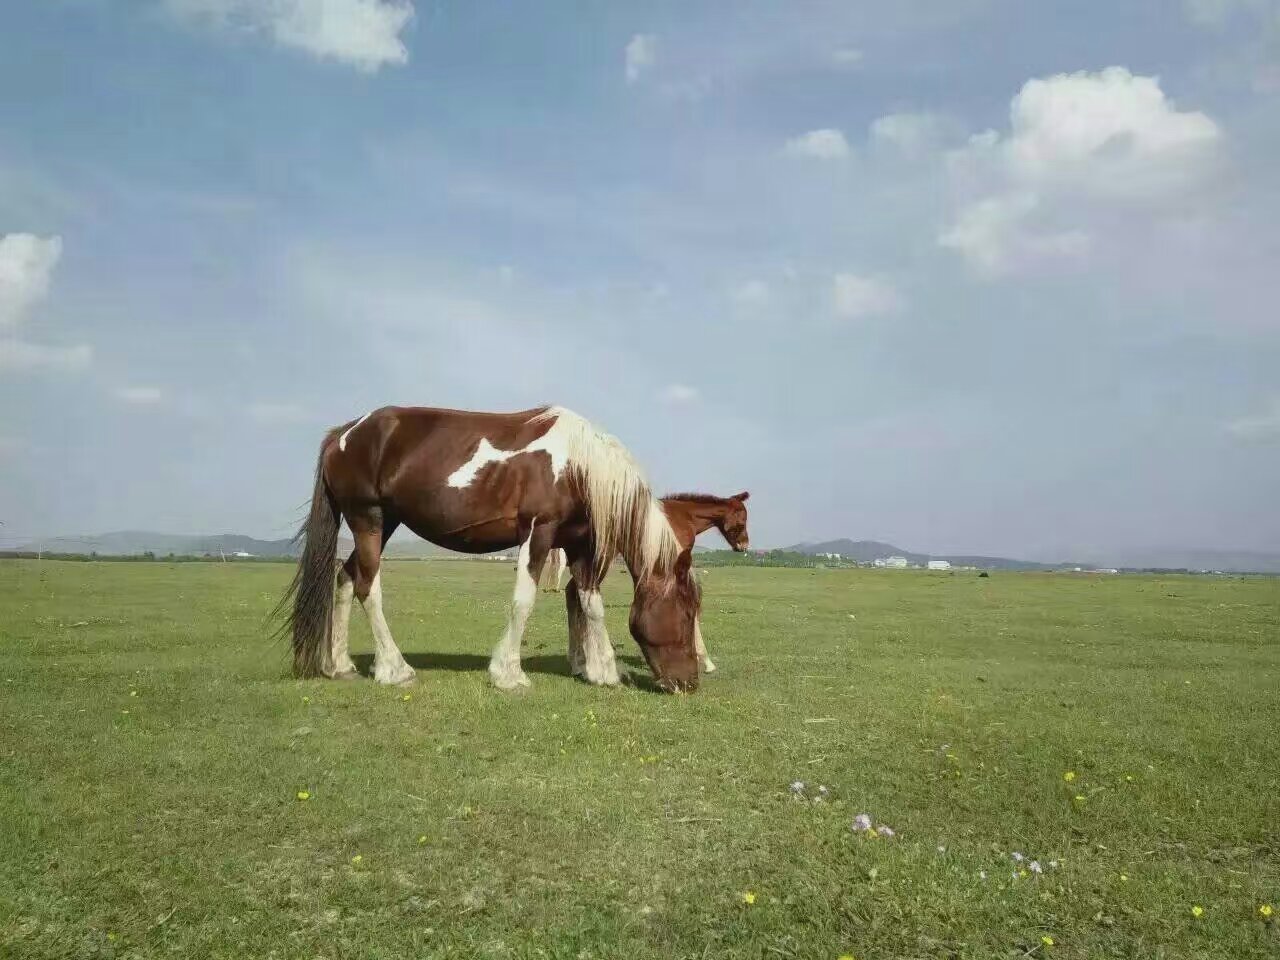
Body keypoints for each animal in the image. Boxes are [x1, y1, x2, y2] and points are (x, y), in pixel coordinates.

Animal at [277, 404, 701, 691]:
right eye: (686, 610)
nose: (690, 683)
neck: (578, 465)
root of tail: (346, 432)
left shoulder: (580, 542)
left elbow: (590, 603)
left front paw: (604, 672)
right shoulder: (539, 531)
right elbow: (524, 601)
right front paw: (508, 674)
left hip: (384, 523)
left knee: (346, 578)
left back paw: (339, 664)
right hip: (368, 517)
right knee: (368, 587)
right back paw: (394, 670)